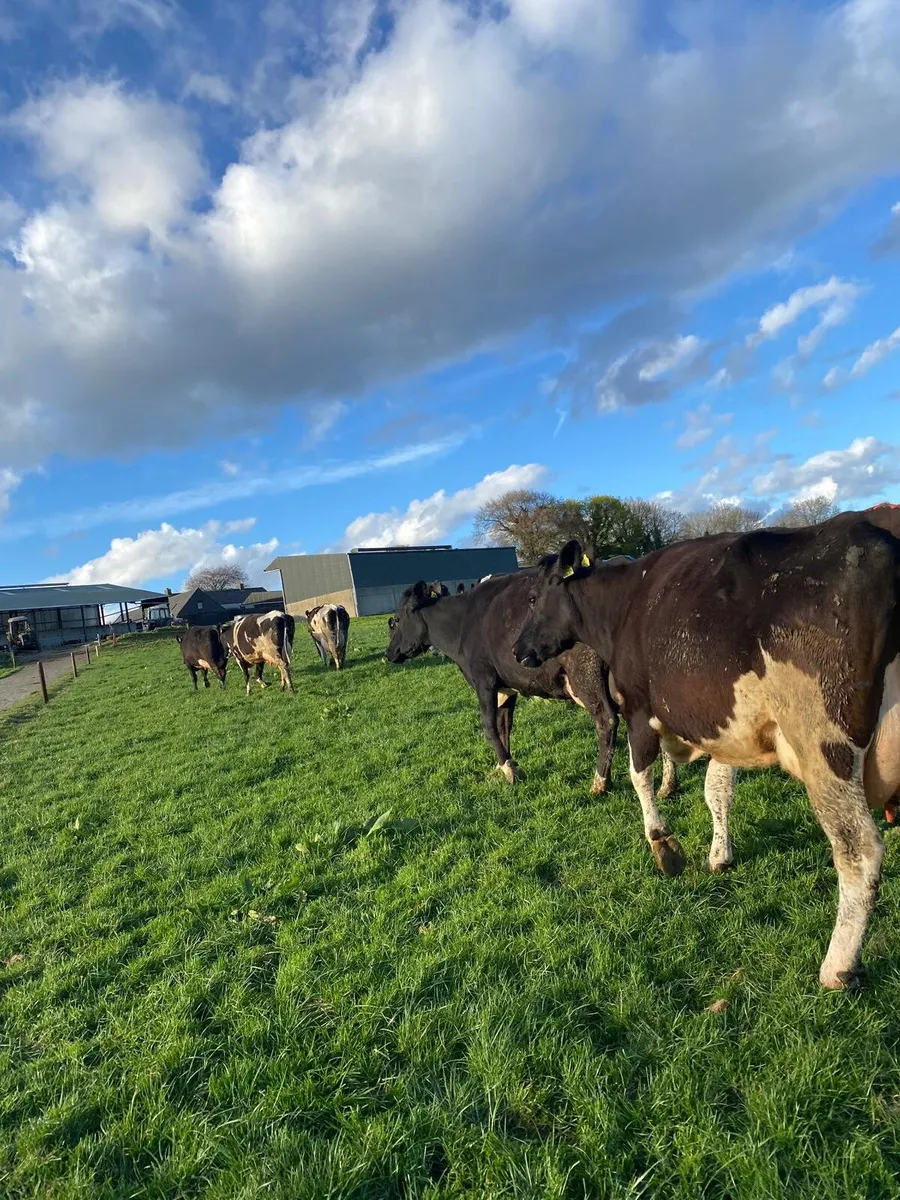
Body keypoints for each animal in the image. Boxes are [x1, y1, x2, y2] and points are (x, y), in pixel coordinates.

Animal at [385, 565, 679, 837]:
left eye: (395, 620)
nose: (389, 654)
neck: (461, 624)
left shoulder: (484, 681)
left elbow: (489, 727)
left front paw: (509, 771)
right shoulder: (507, 688)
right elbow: (504, 727)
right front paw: (504, 765)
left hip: (585, 674)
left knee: (606, 721)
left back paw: (600, 783)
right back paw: (667, 786)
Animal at [513, 524, 900, 990]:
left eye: (533, 597)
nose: (517, 649)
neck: (624, 605)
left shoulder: (638, 710)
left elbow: (639, 775)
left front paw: (663, 845)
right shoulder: (725, 727)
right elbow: (716, 791)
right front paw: (719, 855)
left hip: (825, 745)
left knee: (859, 850)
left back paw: (837, 967)